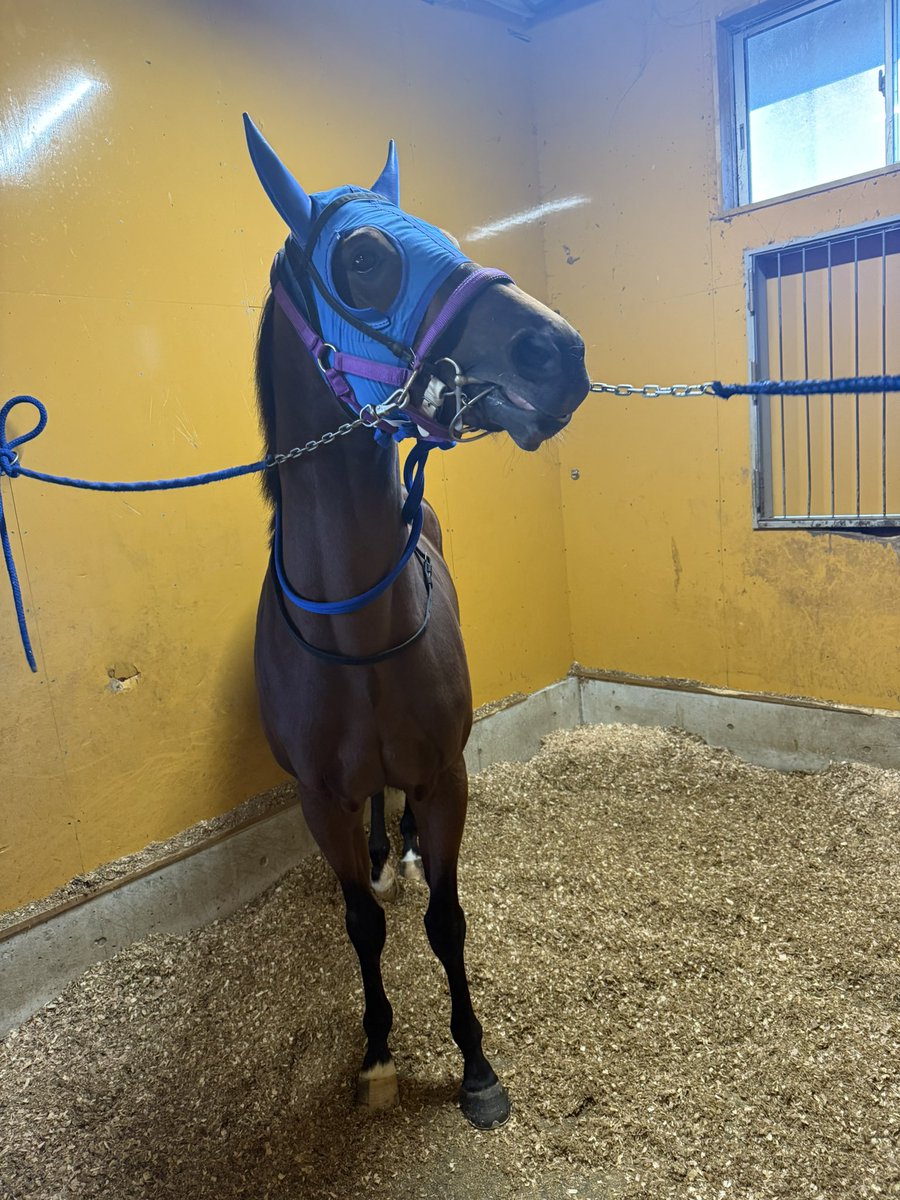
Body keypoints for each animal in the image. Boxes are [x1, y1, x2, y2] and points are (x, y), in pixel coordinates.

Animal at [243, 114, 590, 1130]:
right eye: (362, 256)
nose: (559, 351)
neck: (355, 633)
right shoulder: (319, 798)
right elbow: (359, 922)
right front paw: (377, 1052)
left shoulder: (444, 776)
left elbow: (446, 918)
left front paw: (475, 1066)